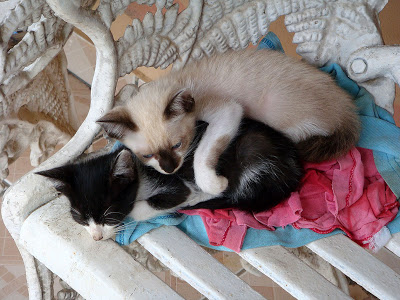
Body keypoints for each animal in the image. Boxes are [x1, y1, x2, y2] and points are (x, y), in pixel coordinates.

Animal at [37, 118, 302, 240]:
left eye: (108, 216)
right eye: (80, 217)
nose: (97, 237)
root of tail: (294, 169)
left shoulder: (176, 184)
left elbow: (144, 207)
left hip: (251, 151)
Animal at [97, 49, 360, 195]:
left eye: (177, 145)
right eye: (147, 156)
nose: (170, 169)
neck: (181, 81)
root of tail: (349, 108)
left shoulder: (228, 111)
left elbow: (203, 153)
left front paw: (213, 184)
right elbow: (128, 92)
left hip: (284, 120)